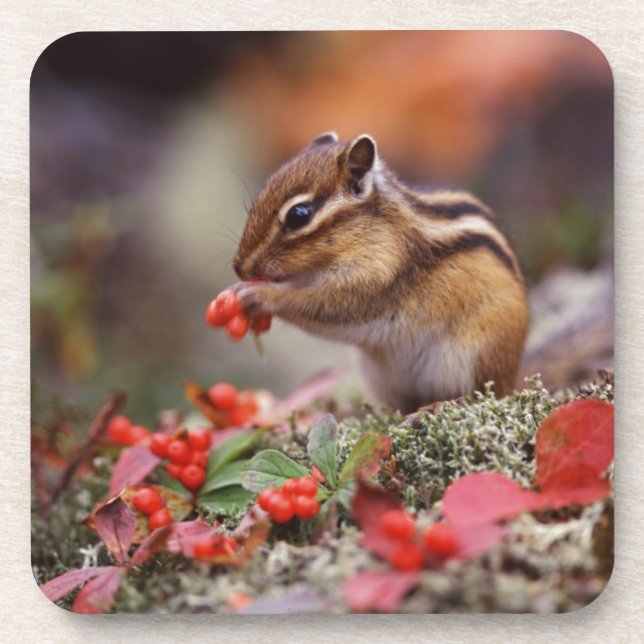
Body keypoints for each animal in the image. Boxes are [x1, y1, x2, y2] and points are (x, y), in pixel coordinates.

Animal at [232, 132, 530, 414]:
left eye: (299, 215)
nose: (239, 268)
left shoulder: (377, 279)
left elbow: (325, 306)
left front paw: (261, 296)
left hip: (473, 356)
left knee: (483, 395)